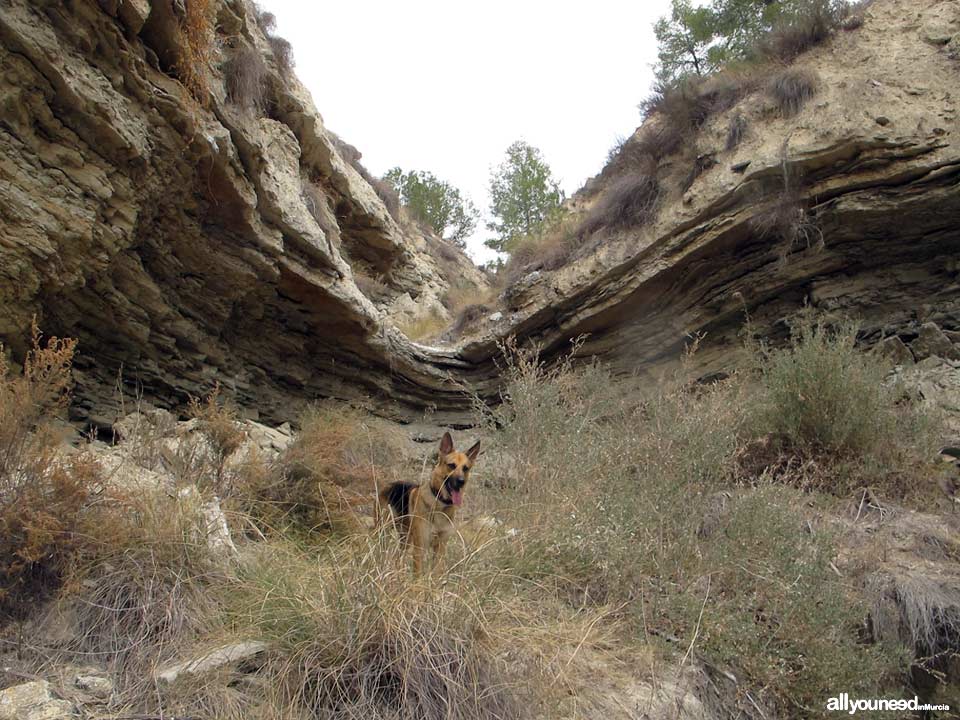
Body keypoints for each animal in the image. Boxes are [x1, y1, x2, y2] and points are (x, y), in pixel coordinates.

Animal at [376, 434, 478, 572]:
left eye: (466, 468)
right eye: (451, 465)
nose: (461, 481)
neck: (440, 503)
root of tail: (387, 485)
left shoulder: (440, 549)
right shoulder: (419, 549)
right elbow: (418, 574)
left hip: (406, 539)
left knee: (398, 557)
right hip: (383, 533)